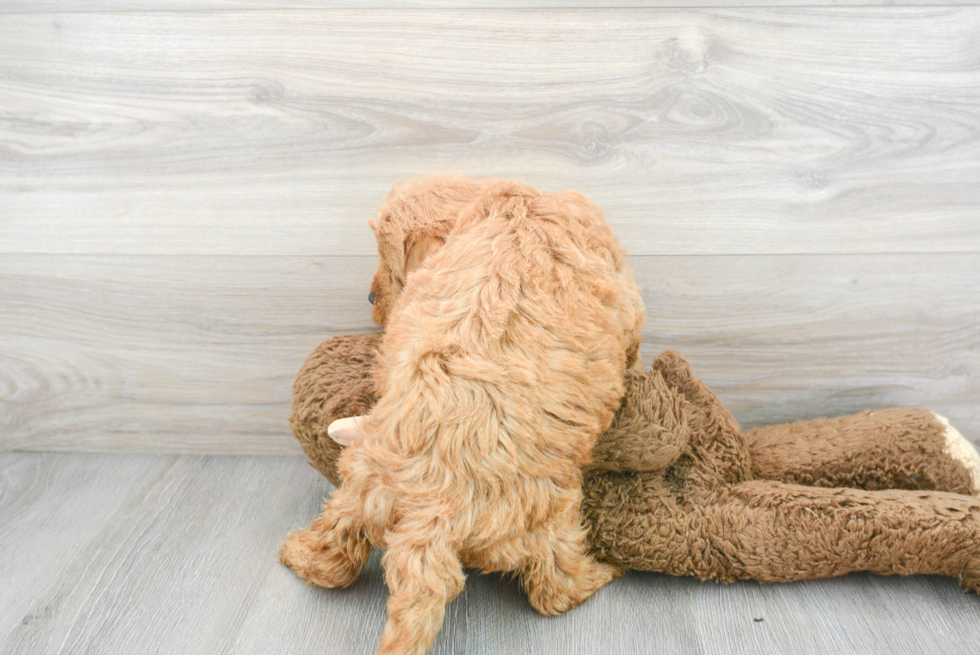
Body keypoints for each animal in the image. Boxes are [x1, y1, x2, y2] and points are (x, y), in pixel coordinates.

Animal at [278, 176, 644, 655]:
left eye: (389, 261)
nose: (372, 297)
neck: (509, 201)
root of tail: (430, 511)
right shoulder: (625, 299)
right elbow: (632, 346)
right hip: (548, 515)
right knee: (554, 589)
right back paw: (603, 573)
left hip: (357, 489)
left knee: (333, 552)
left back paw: (297, 554)